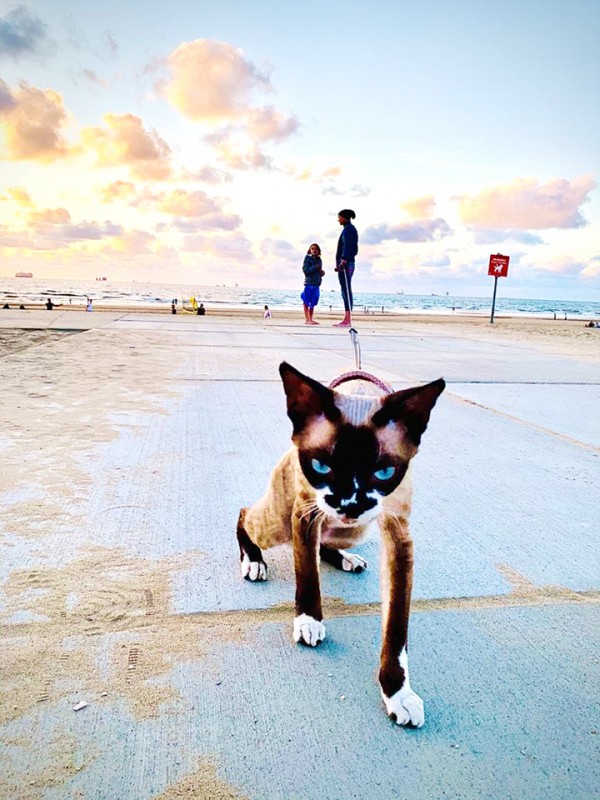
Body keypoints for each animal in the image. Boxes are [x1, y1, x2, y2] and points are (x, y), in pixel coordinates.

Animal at [236, 366, 446, 728]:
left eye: (384, 472)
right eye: (321, 466)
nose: (350, 504)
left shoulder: (398, 537)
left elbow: (396, 627)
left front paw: (397, 692)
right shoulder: (305, 514)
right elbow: (307, 576)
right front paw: (308, 621)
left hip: (354, 530)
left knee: (324, 543)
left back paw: (345, 558)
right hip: (279, 522)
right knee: (244, 513)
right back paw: (253, 559)